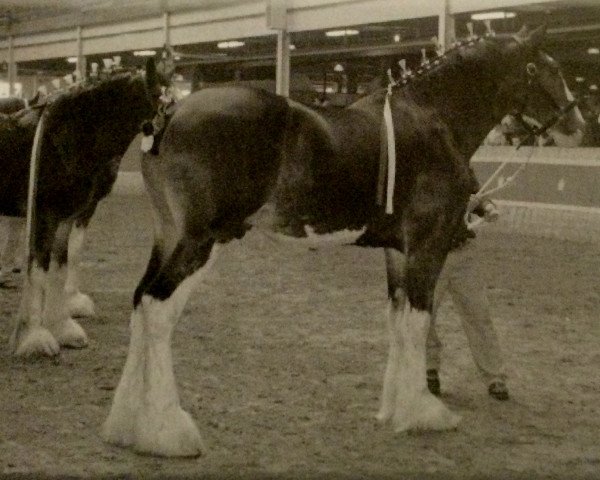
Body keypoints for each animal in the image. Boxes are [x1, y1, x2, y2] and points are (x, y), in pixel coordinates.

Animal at [8, 59, 164, 356]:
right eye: (163, 101)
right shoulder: (46, 216)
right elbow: (39, 269)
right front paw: (34, 338)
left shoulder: (68, 217)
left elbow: (61, 264)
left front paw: (63, 326)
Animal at [103, 24, 584, 456]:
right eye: (546, 68)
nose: (578, 124)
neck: (431, 117)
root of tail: (169, 112)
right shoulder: (428, 245)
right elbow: (418, 321)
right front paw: (423, 414)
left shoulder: (397, 251)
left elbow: (398, 321)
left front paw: (394, 410)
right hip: (201, 240)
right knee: (158, 309)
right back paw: (167, 433)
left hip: (168, 235)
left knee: (139, 303)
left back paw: (126, 425)